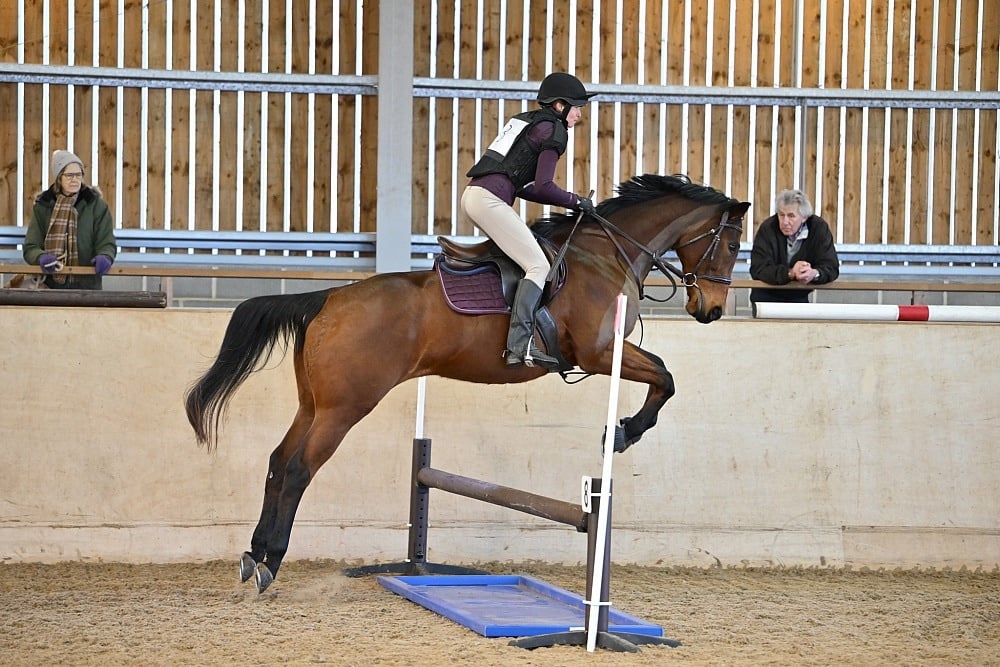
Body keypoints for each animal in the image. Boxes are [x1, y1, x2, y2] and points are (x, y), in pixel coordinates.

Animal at [184, 174, 750, 593]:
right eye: (731, 242)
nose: (711, 310)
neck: (605, 253)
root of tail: (327, 298)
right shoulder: (599, 353)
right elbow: (666, 376)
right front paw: (625, 432)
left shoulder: (603, 355)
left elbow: (664, 374)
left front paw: (624, 430)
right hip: (344, 408)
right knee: (300, 468)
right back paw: (270, 563)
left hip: (313, 405)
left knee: (279, 462)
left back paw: (254, 554)